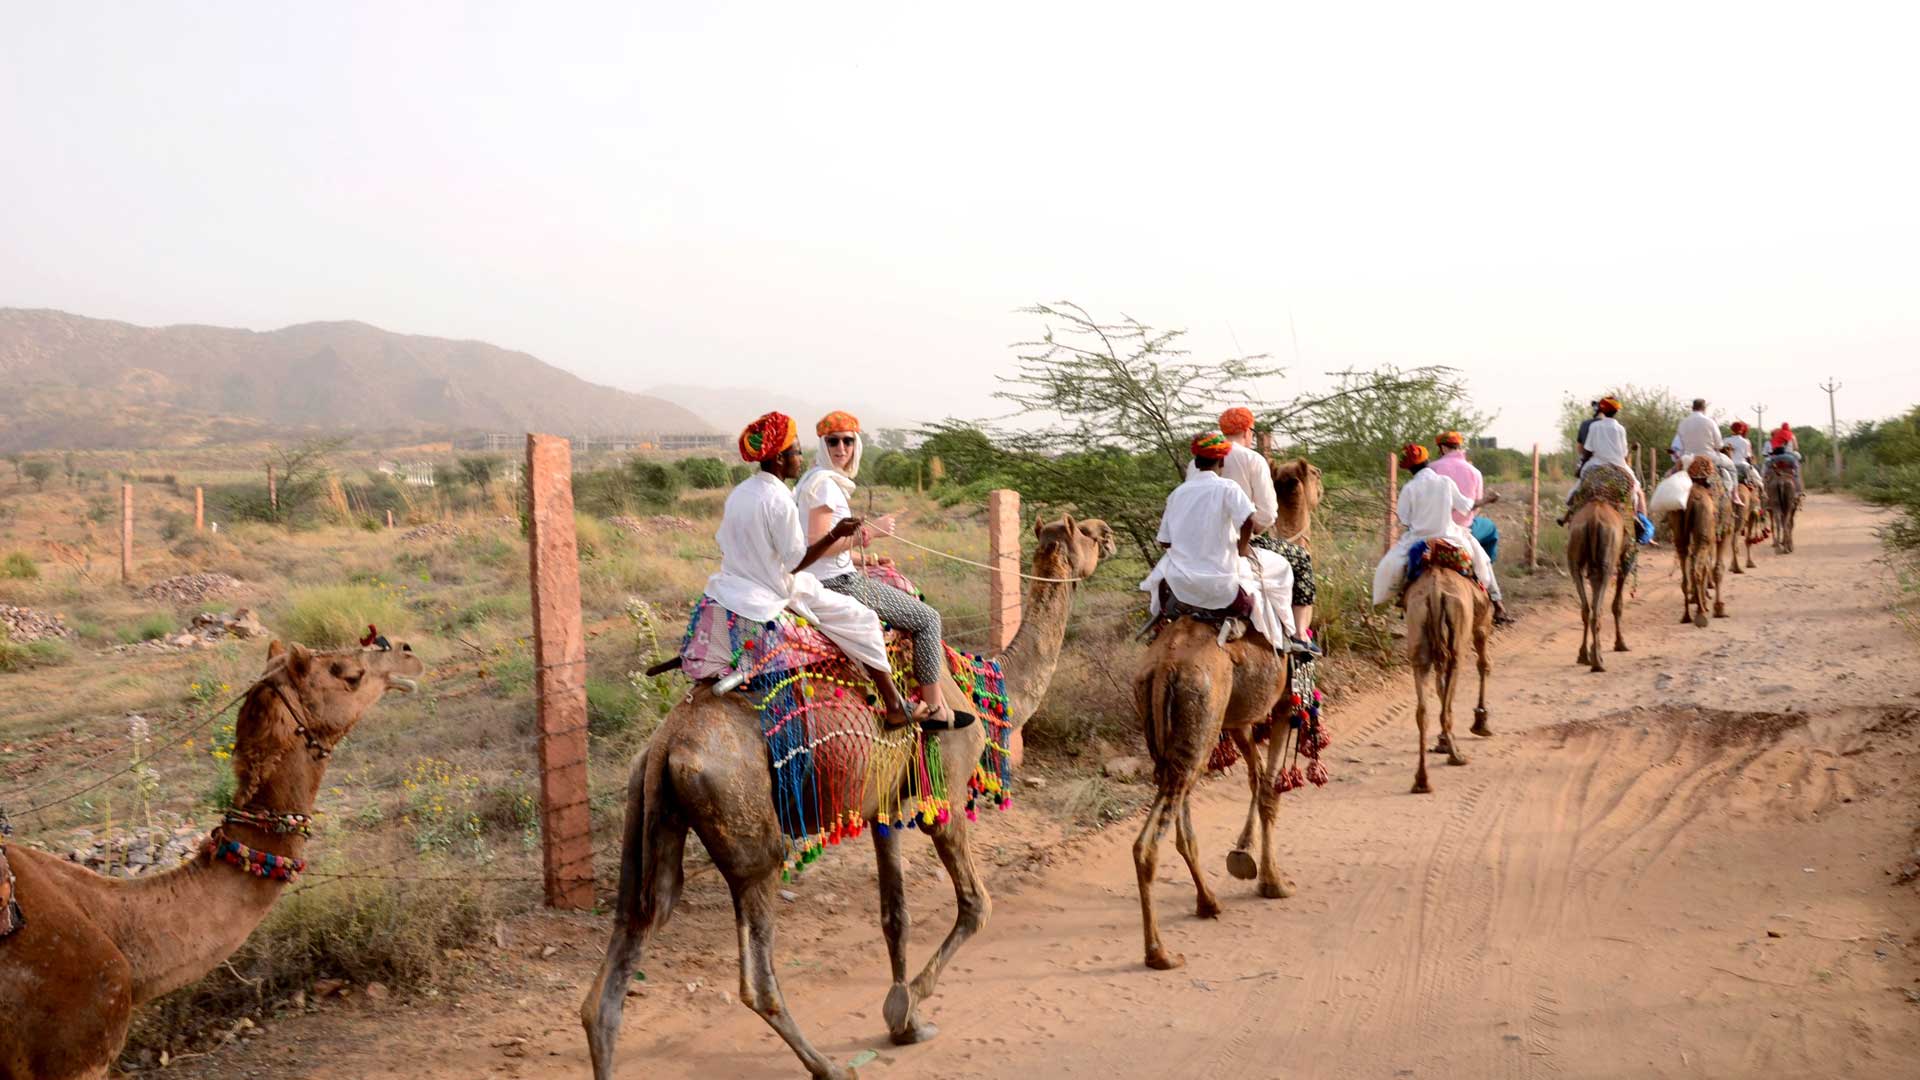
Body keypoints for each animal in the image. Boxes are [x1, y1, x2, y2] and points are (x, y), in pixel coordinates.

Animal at [583, 511, 1121, 1076]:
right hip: (748, 831)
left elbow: (895, 916)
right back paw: (827, 1065)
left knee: (632, 940)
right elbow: (977, 905)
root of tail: (667, 746)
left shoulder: (883, 808)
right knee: (755, 974)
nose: (1109, 534)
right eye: (1086, 533)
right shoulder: (945, 797)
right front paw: (910, 1005)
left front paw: (905, 1019)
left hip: (652, 807)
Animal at [1405, 545, 1489, 791]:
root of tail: (1434, 592)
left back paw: (1422, 780)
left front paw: (1443, 741)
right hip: (1458, 640)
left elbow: (1440, 686)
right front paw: (1481, 723)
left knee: (1423, 711)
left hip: (1419, 637)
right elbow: (1484, 665)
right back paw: (1457, 757)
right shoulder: (1481, 625)